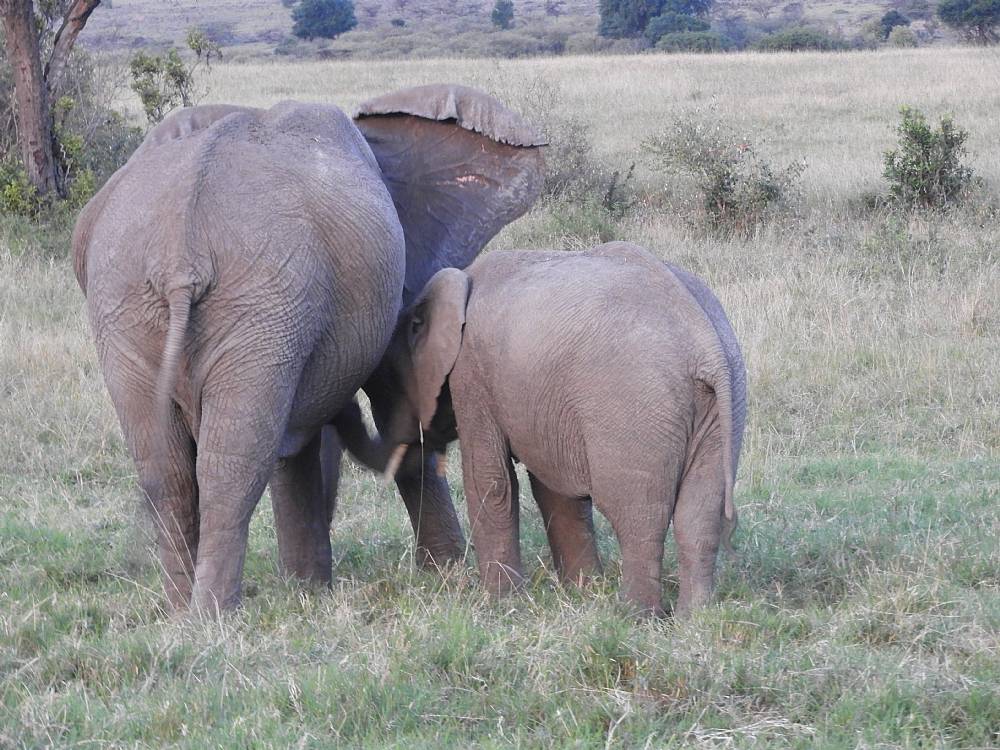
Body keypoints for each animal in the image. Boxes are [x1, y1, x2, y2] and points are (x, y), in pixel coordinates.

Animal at [72, 85, 548, 612]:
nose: (345, 412)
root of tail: (179, 252)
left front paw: (307, 586)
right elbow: (384, 399)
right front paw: (440, 569)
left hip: (137, 308)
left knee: (169, 470)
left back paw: (181, 612)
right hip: (250, 298)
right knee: (230, 465)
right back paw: (213, 614)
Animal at [378, 241, 748, 616]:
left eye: (387, 383)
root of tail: (705, 343)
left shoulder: (472, 373)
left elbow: (491, 480)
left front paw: (500, 604)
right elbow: (554, 487)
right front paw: (584, 590)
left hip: (636, 405)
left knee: (639, 516)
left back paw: (634, 616)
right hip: (723, 408)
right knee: (697, 516)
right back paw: (693, 617)